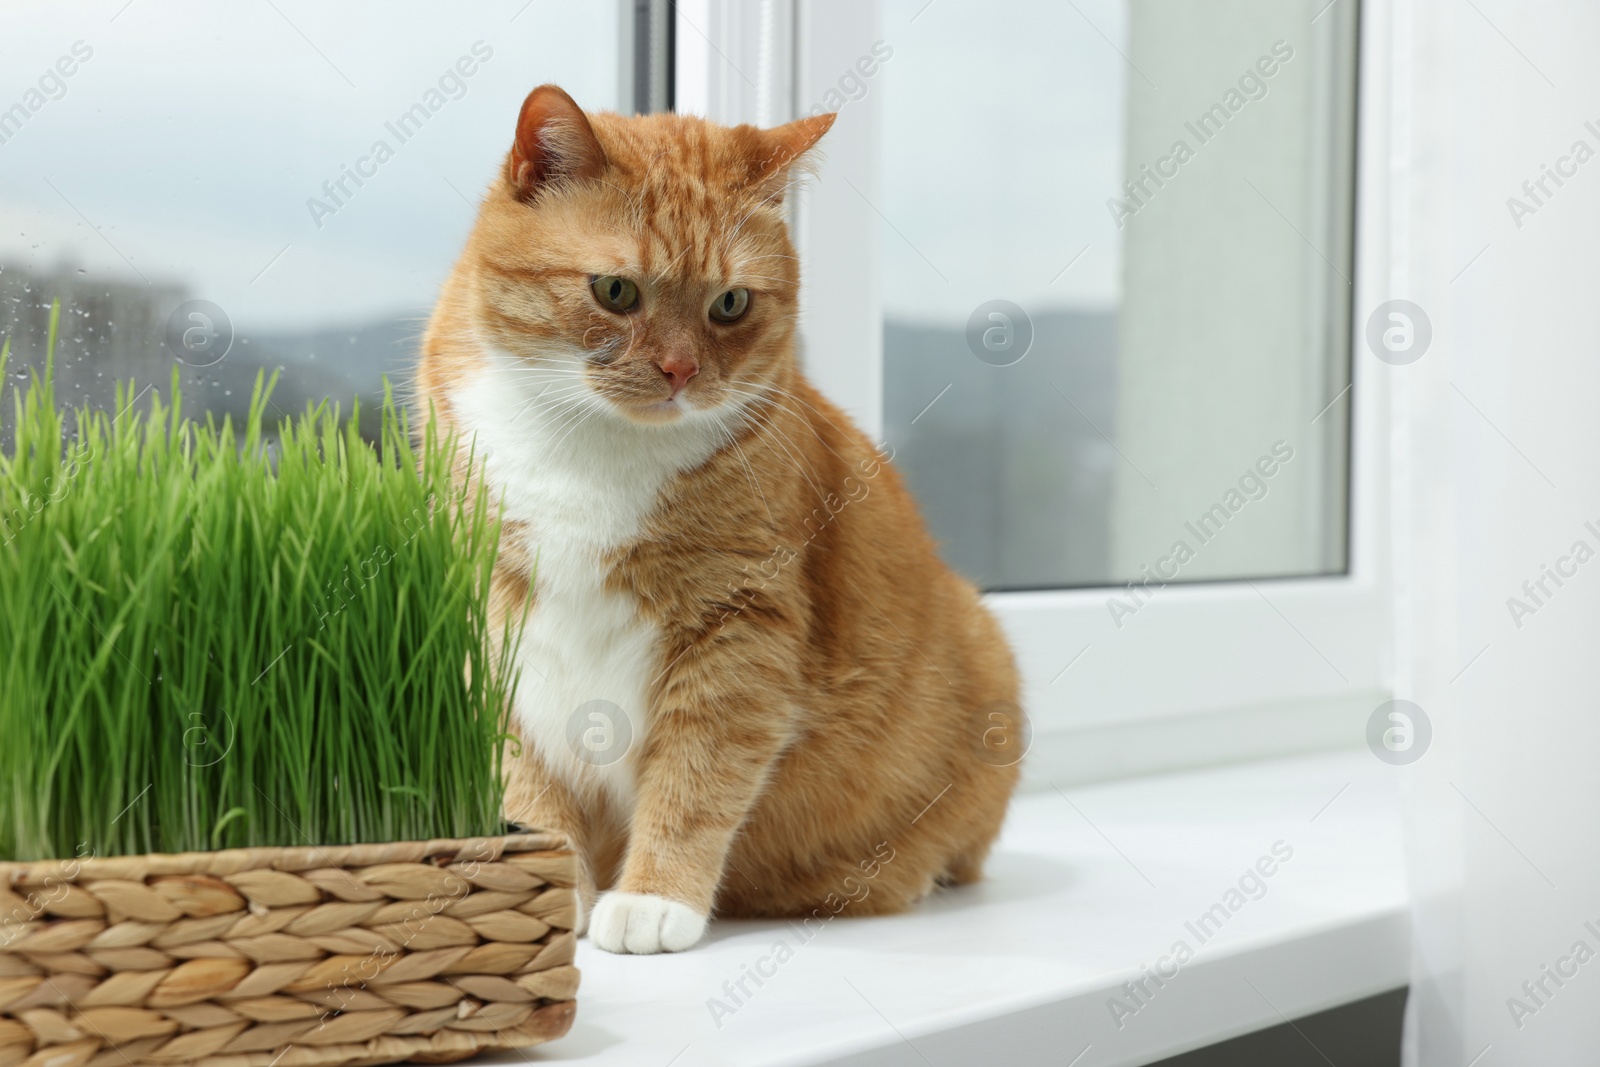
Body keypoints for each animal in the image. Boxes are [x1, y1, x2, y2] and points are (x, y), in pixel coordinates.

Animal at [419, 83, 1017, 953]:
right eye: (616, 291)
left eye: (730, 303)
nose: (680, 369)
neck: (591, 448)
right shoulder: (485, 613)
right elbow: (522, 780)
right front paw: (550, 888)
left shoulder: (740, 629)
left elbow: (696, 775)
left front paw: (653, 897)